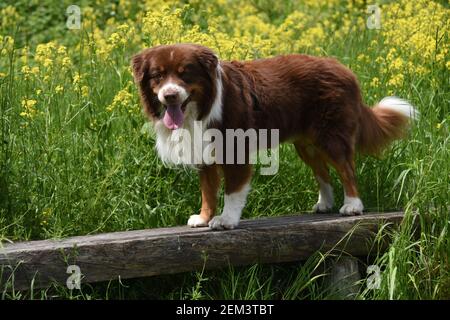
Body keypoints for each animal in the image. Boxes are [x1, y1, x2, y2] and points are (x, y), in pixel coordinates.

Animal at [131, 43, 418, 230]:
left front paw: (226, 220)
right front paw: (203, 218)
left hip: (331, 136)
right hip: (306, 144)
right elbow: (208, 190)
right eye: (158, 76)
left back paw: (352, 206)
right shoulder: (204, 152)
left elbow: (232, 190)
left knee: (346, 168)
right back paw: (324, 204)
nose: (169, 95)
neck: (202, 106)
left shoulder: (234, 148)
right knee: (322, 172)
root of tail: (345, 70)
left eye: (185, 73)